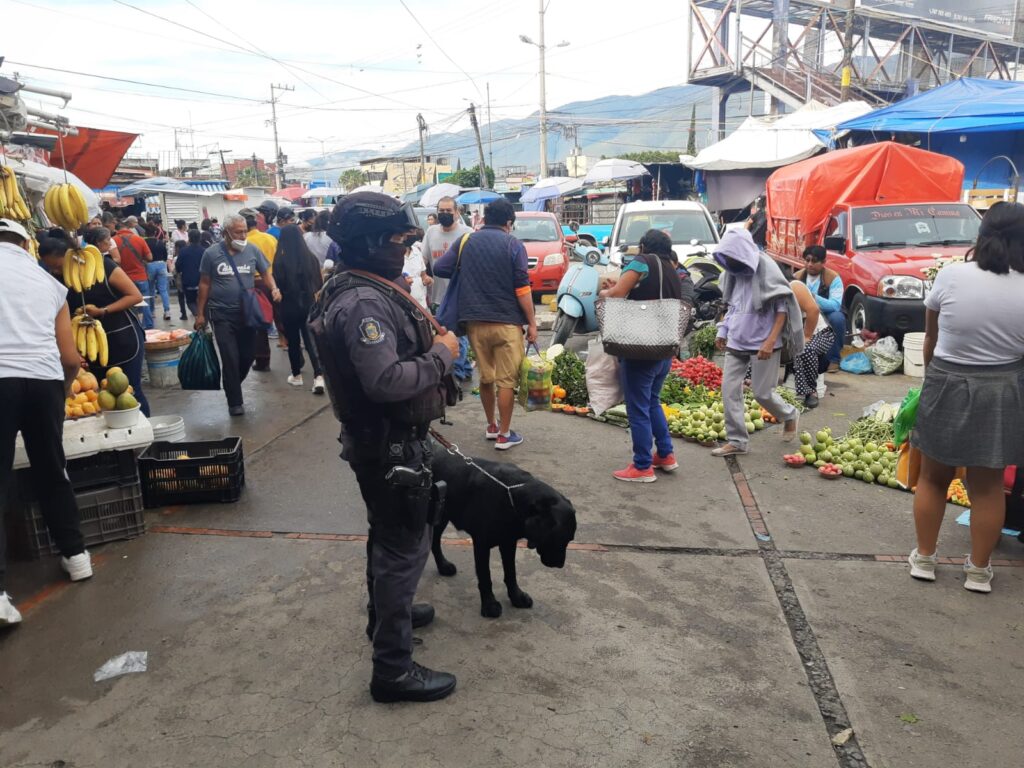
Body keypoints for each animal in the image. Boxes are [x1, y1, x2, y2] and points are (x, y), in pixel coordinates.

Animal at [430, 450, 581, 618]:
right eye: (558, 539)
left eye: (570, 539)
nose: (560, 564)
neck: (511, 498)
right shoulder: (482, 544)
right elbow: (485, 576)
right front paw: (489, 604)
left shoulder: (508, 542)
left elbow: (511, 572)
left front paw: (517, 597)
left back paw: (443, 566)